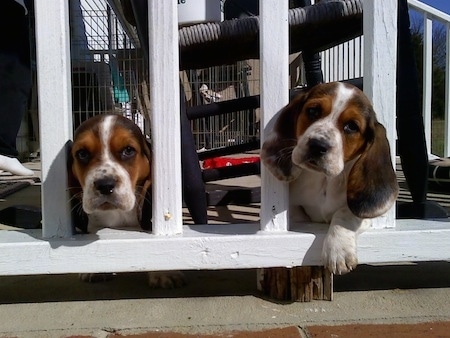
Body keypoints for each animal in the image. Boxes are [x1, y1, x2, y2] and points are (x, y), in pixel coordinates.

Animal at [262, 81, 400, 274]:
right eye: (313, 111)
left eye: (351, 126)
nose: (317, 145)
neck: (325, 180)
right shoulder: (294, 208)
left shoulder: (371, 216)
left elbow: (345, 213)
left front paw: (338, 251)